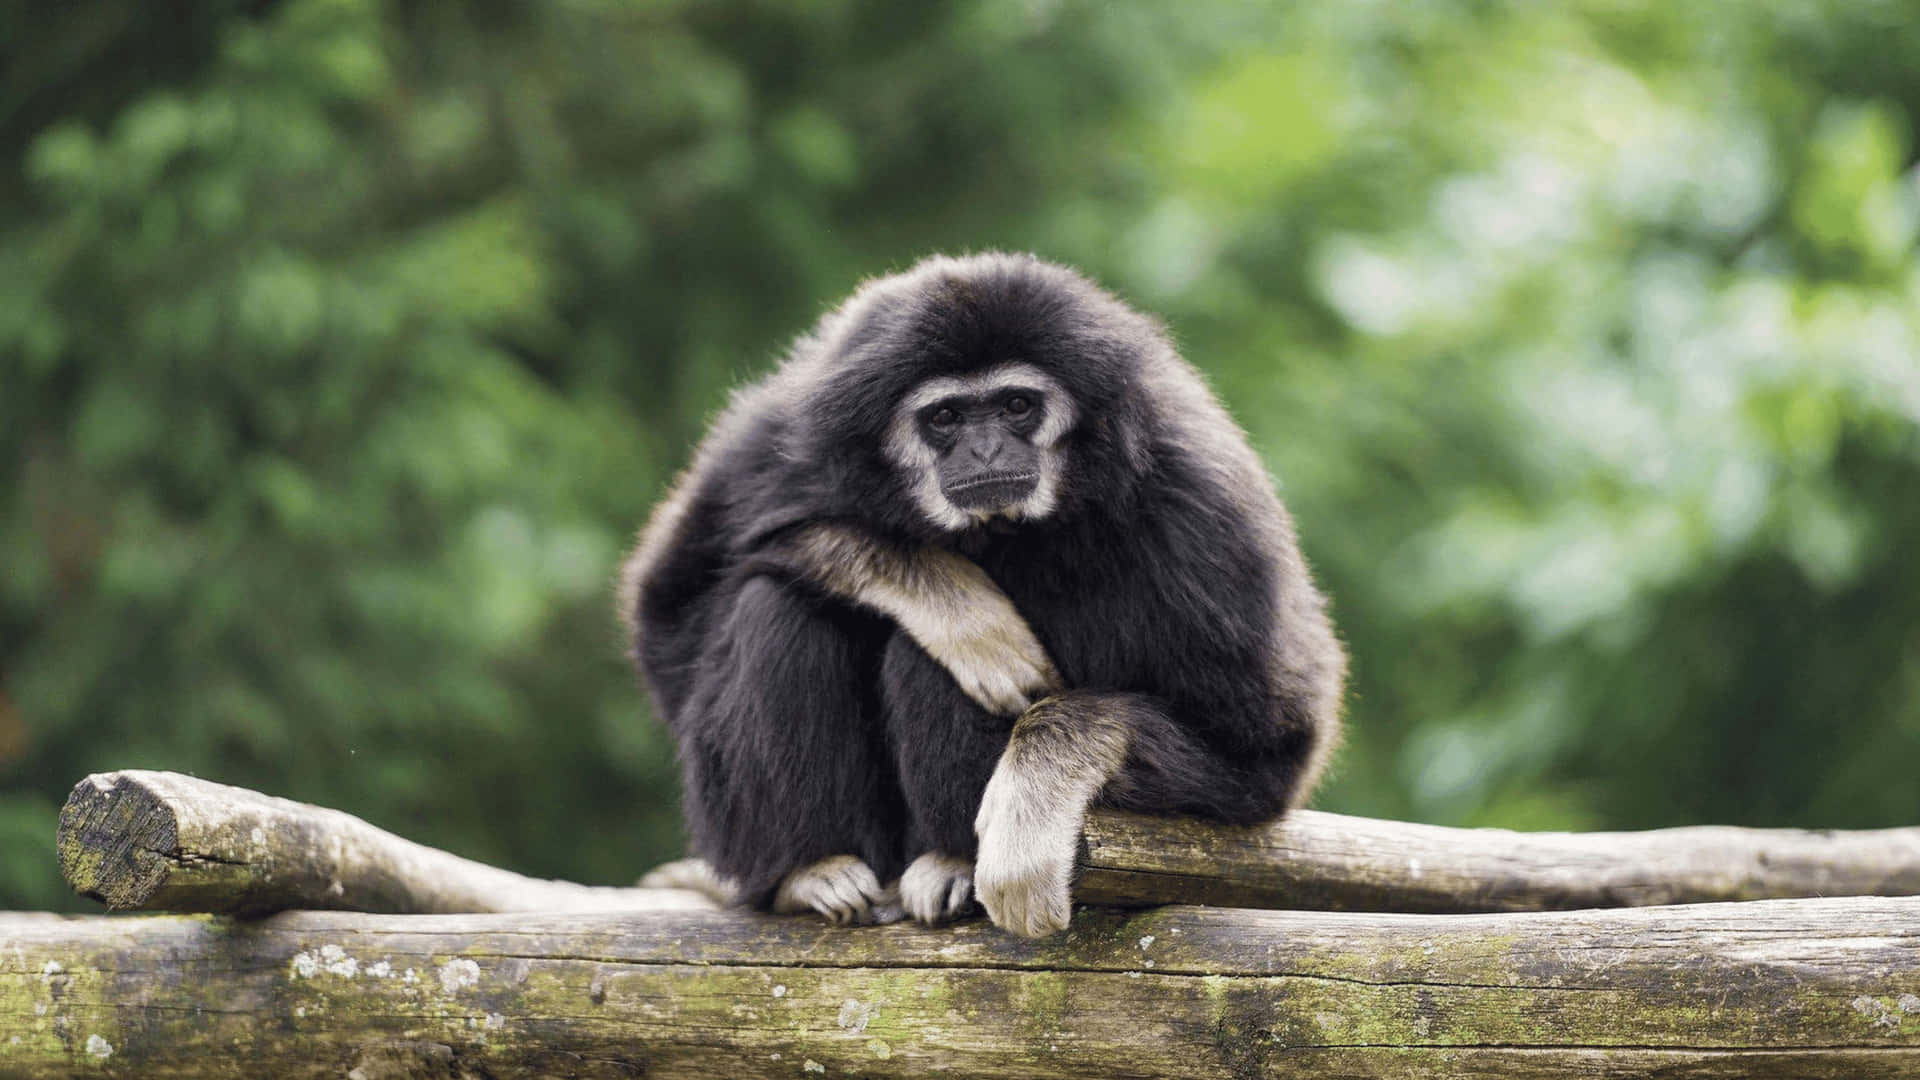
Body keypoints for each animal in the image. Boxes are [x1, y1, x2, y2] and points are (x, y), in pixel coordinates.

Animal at [619, 252, 1345, 937]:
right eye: (945, 417)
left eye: (1017, 405)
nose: (987, 449)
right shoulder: (774, 438)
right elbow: (673, 615)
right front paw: (959, 607)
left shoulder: (1201, 505)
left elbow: (1260, 753)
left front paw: (1034, 795)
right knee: (775, 603)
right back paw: (809, 870)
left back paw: (950, 862)